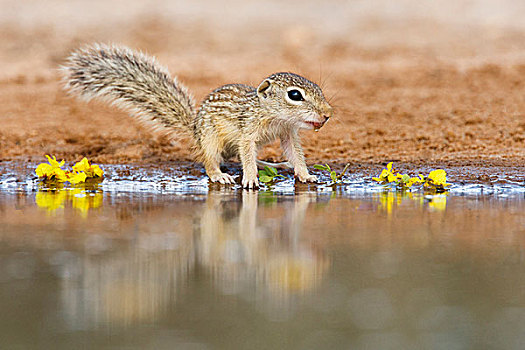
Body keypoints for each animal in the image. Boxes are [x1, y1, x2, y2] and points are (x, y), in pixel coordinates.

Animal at [61, 43, 332, 189]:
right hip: (210, 140)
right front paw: (250, 179)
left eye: (318, 89)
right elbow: (246, 153)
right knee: (212, 161)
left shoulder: (288, 134)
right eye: (295, 95)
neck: (275, 117)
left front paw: (305, 174)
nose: (327, 114)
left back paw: (273, 164)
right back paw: (221, 175)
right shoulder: (248, 133)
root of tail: (194, 128)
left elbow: (295, 155)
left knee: (235, 157)